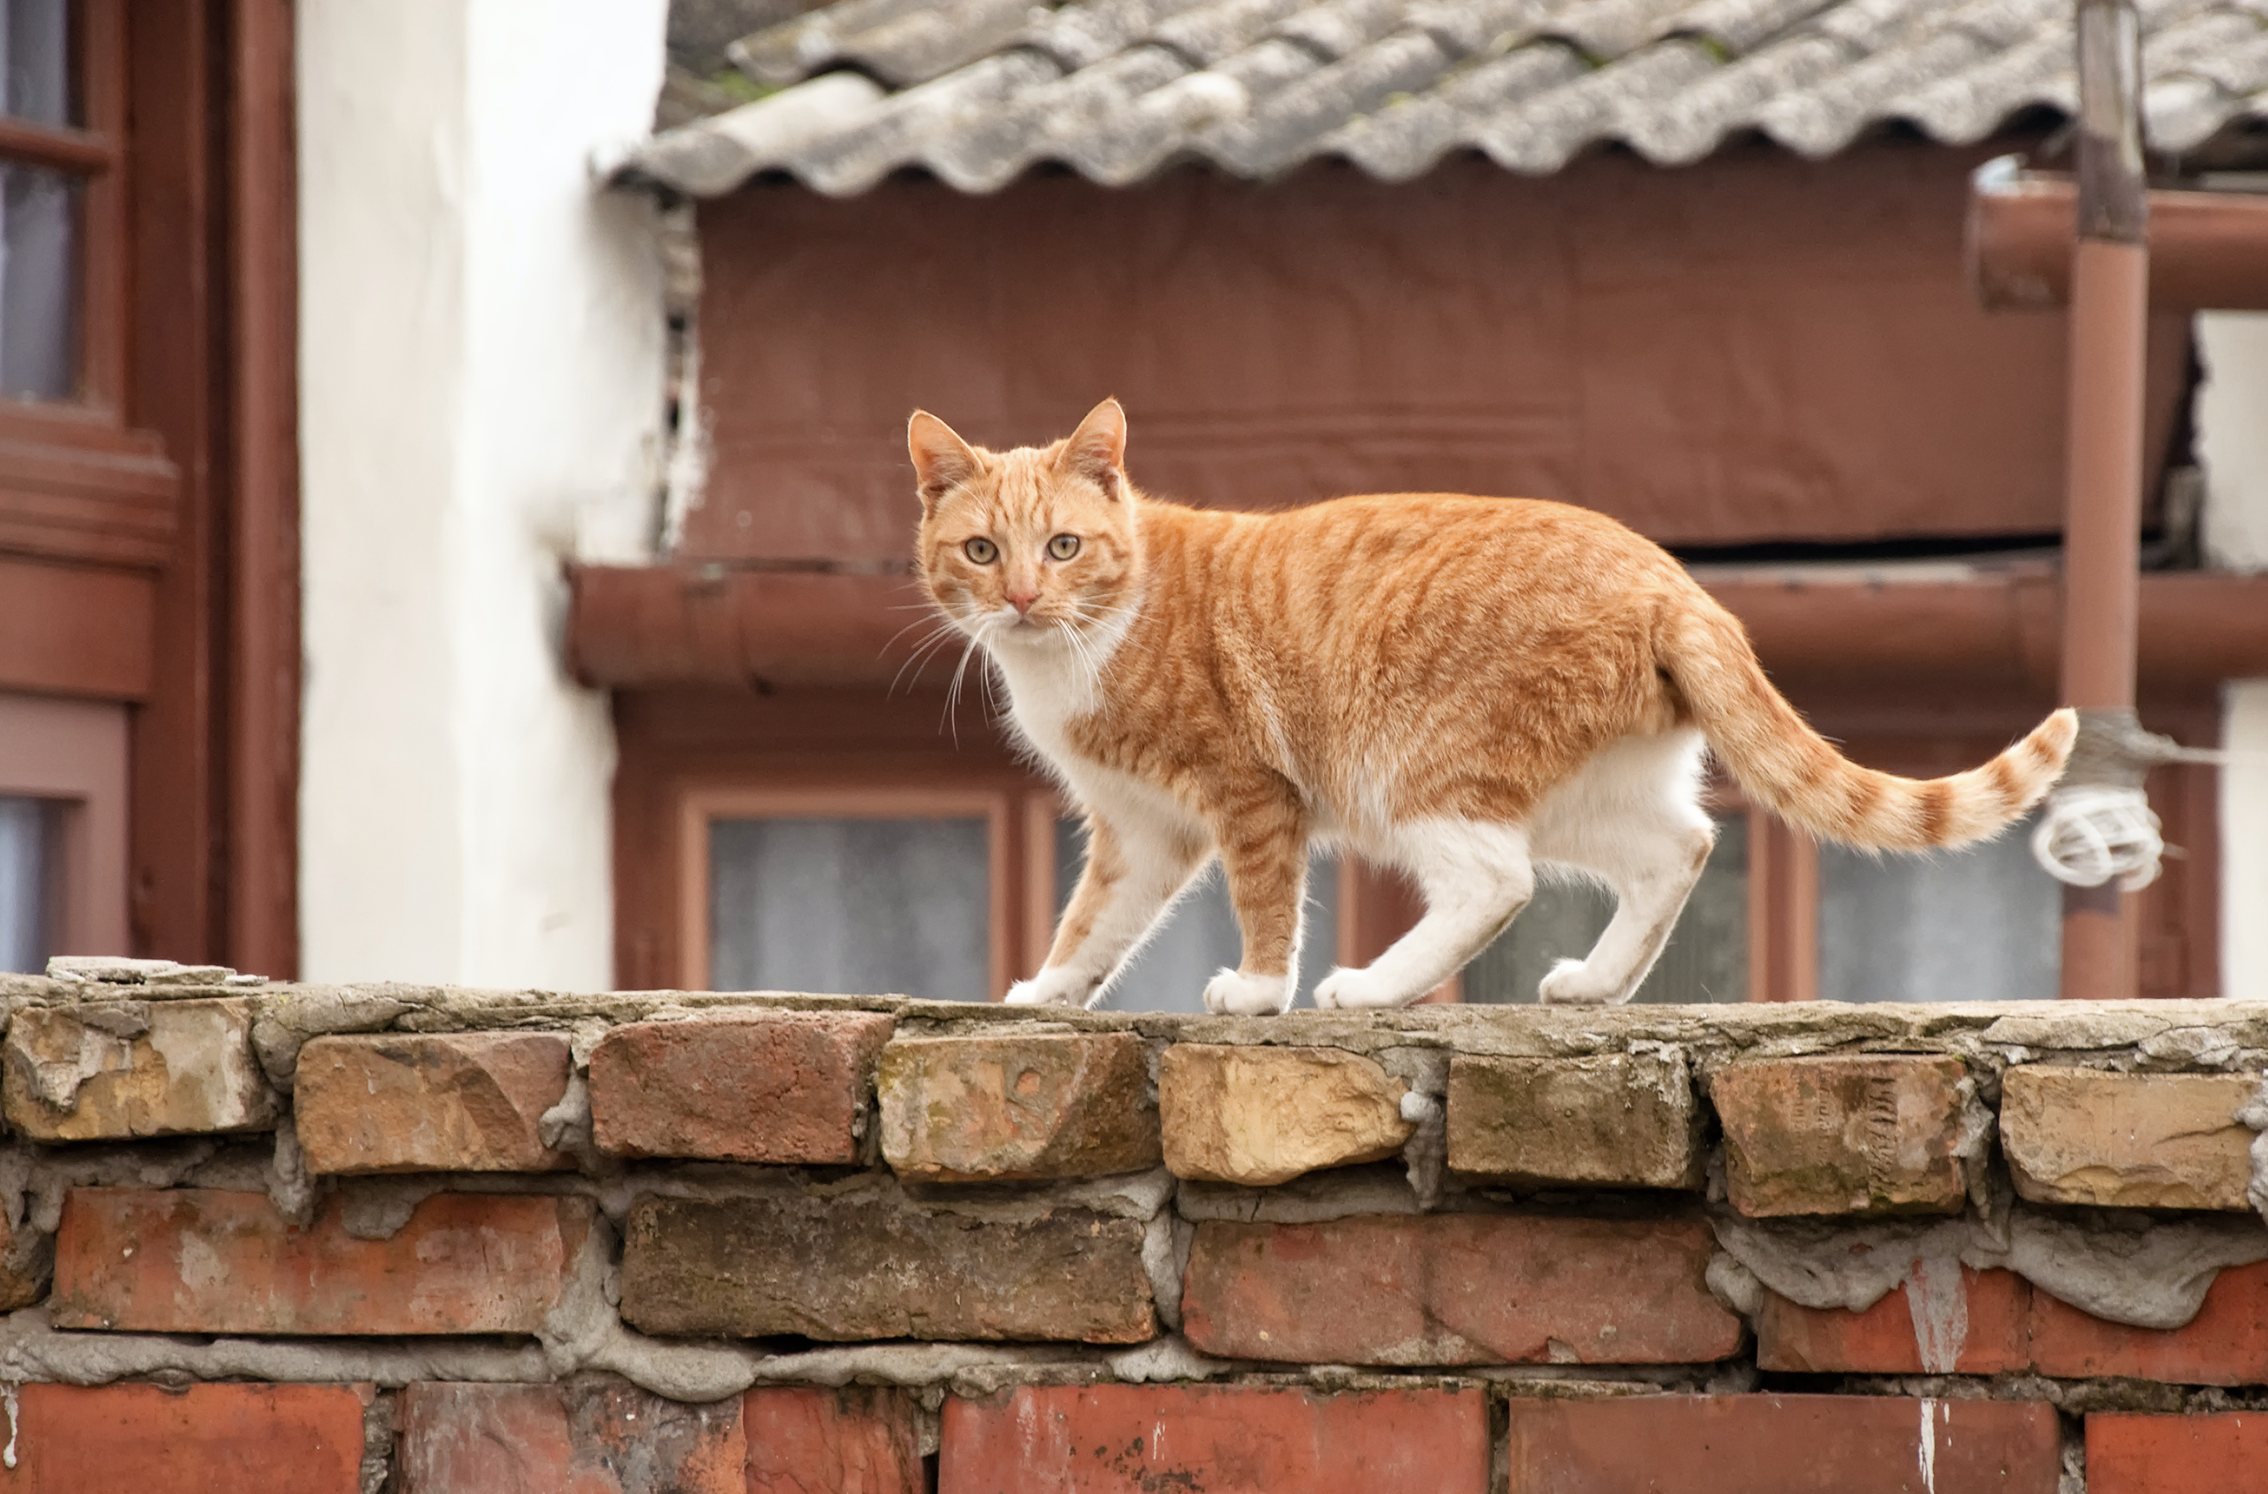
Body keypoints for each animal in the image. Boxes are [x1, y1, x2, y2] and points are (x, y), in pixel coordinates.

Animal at [902, 394, 2077, 1015]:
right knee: (1680, 848)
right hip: (1586, 791)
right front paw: (1048, 993)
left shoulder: (1248, 795)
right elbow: (1095, 920)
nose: (1022, 596)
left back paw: (1371, 989)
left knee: (1495, 882)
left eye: (1063, 546)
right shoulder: (1139, 830)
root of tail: (1673, 580)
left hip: (1418, 768)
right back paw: (1597, 983)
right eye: (982, 551)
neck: (1085, 642)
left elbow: (1265, 905)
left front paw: (1259, 990)